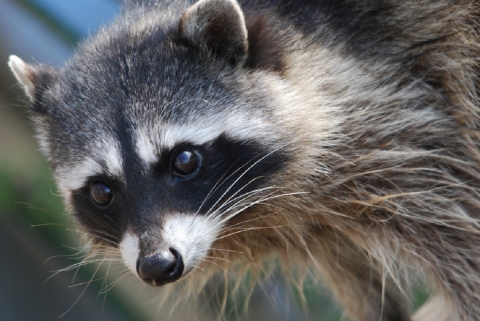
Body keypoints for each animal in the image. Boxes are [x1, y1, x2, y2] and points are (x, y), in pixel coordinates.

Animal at [6, 0, 480, 318]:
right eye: (102, 191)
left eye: (184, 160)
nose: (157, 265)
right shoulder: (321, 222)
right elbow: (355, 275)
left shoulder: (397, 114)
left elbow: (460, 234)